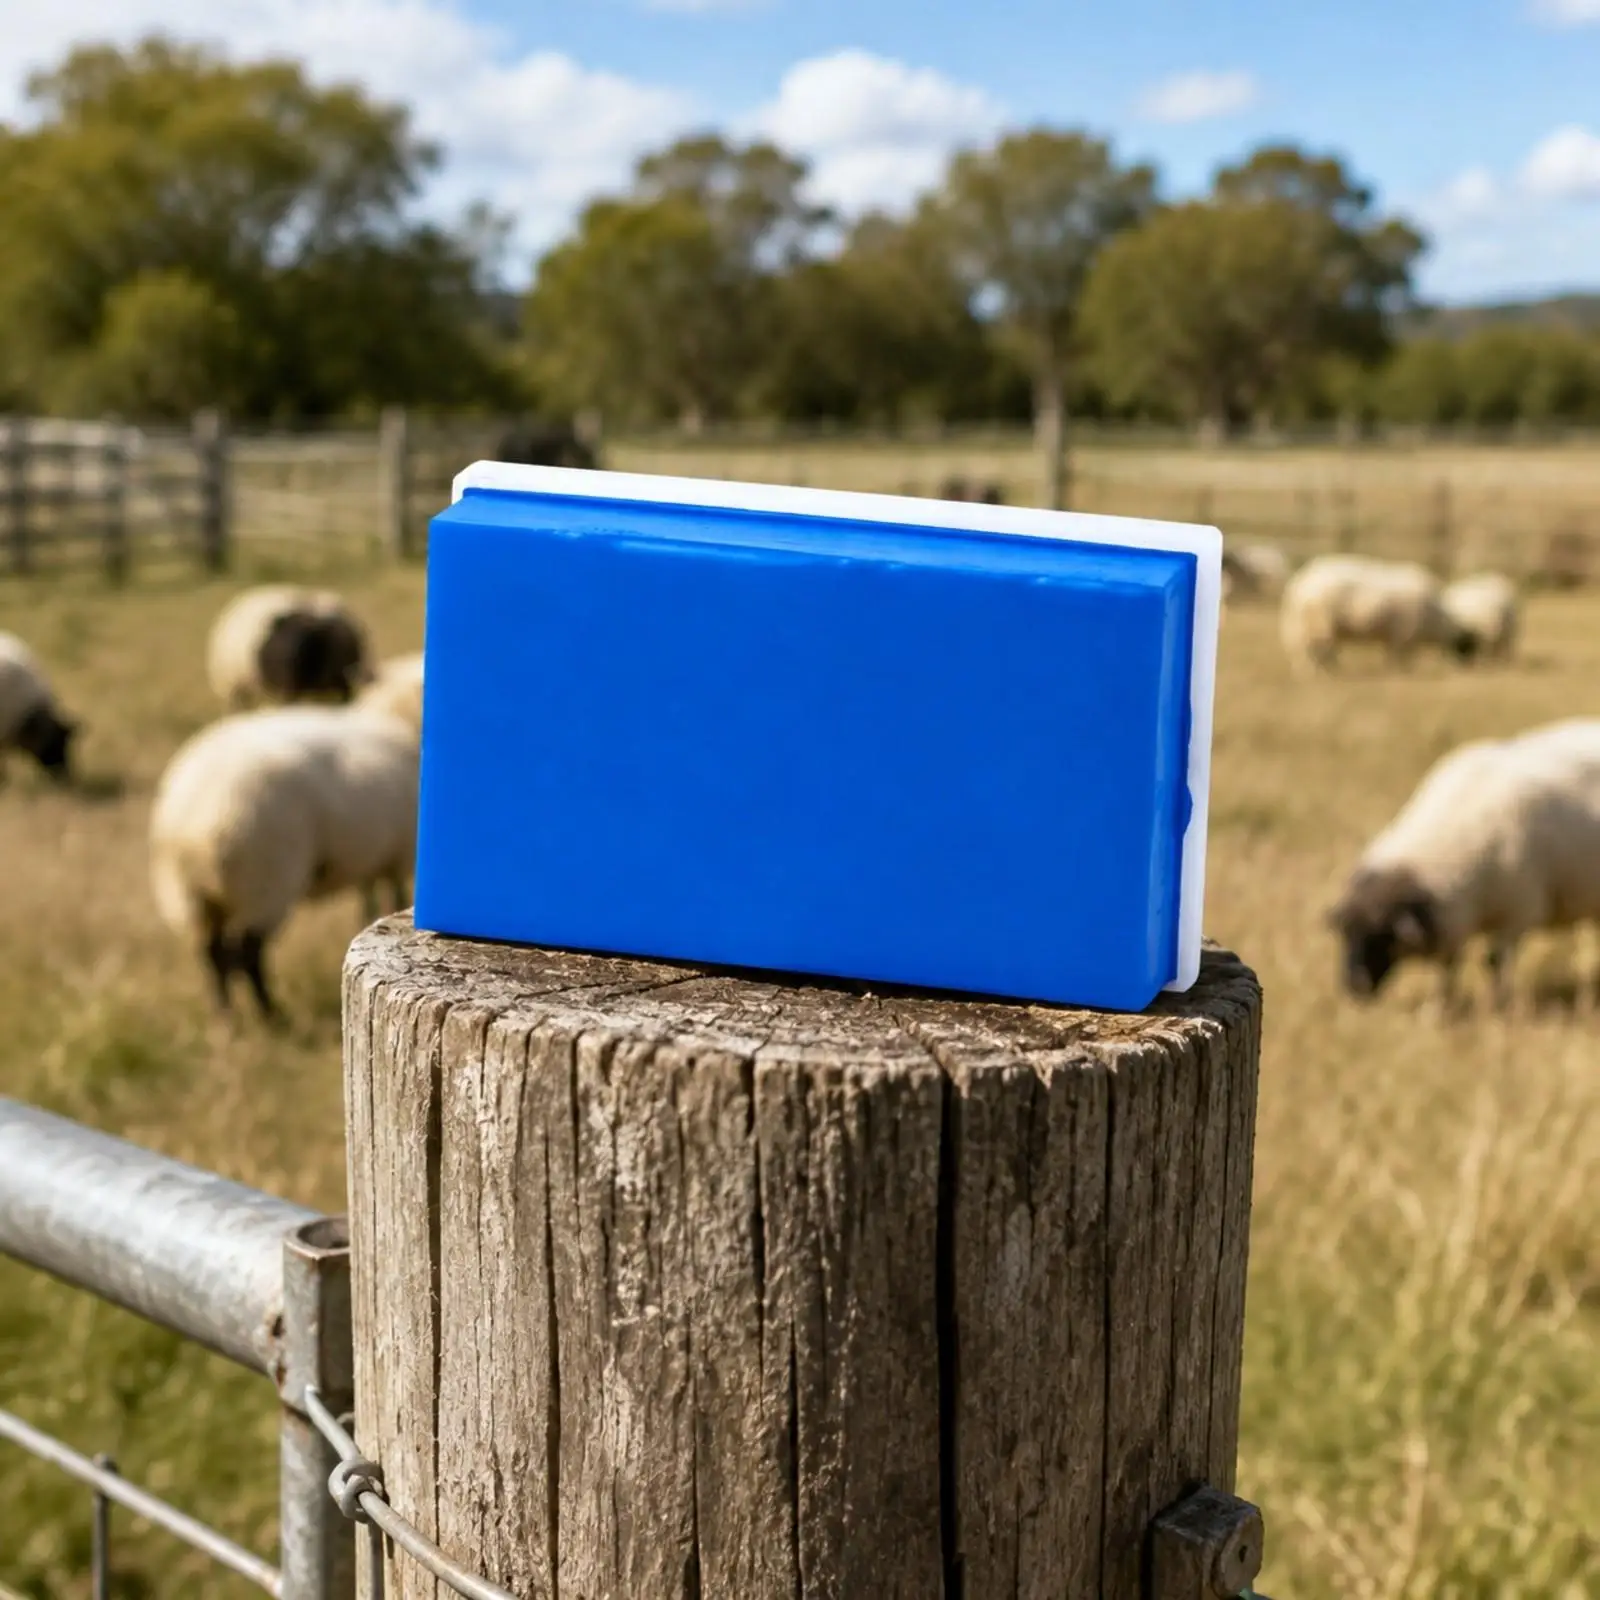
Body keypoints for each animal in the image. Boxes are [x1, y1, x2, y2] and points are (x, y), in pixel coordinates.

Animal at [149, 701, 419, 1018]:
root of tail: (190, 827)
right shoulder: (397, 856)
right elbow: (392, 897)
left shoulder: (373, 859)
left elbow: (370, 900)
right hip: (264, 884)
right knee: (248, 954)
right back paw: (271, 1014)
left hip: (192, 897)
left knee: (213, 955)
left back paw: (226, 1016)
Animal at [1279, 554, 1472, 673]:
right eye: (1465, 646)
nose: (1463, 671)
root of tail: (1299, 583)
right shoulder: (1403, 637)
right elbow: (1400, 659)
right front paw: (1402, 673)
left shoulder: (1393, 638)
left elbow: (1390, 657)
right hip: (1319, 624)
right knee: (1311, 651)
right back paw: (1320, 673)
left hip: (1306, 625)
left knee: (1304, 651)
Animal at [1327, 718, 1600, 1009]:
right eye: (1345, 933)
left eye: (1383, 936)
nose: (1355, 986)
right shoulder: (1452, 917)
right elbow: (1447, 966)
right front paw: (1439, 1007)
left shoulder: (1519, 911)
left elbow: (1494, 961)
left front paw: (1497, 1004)